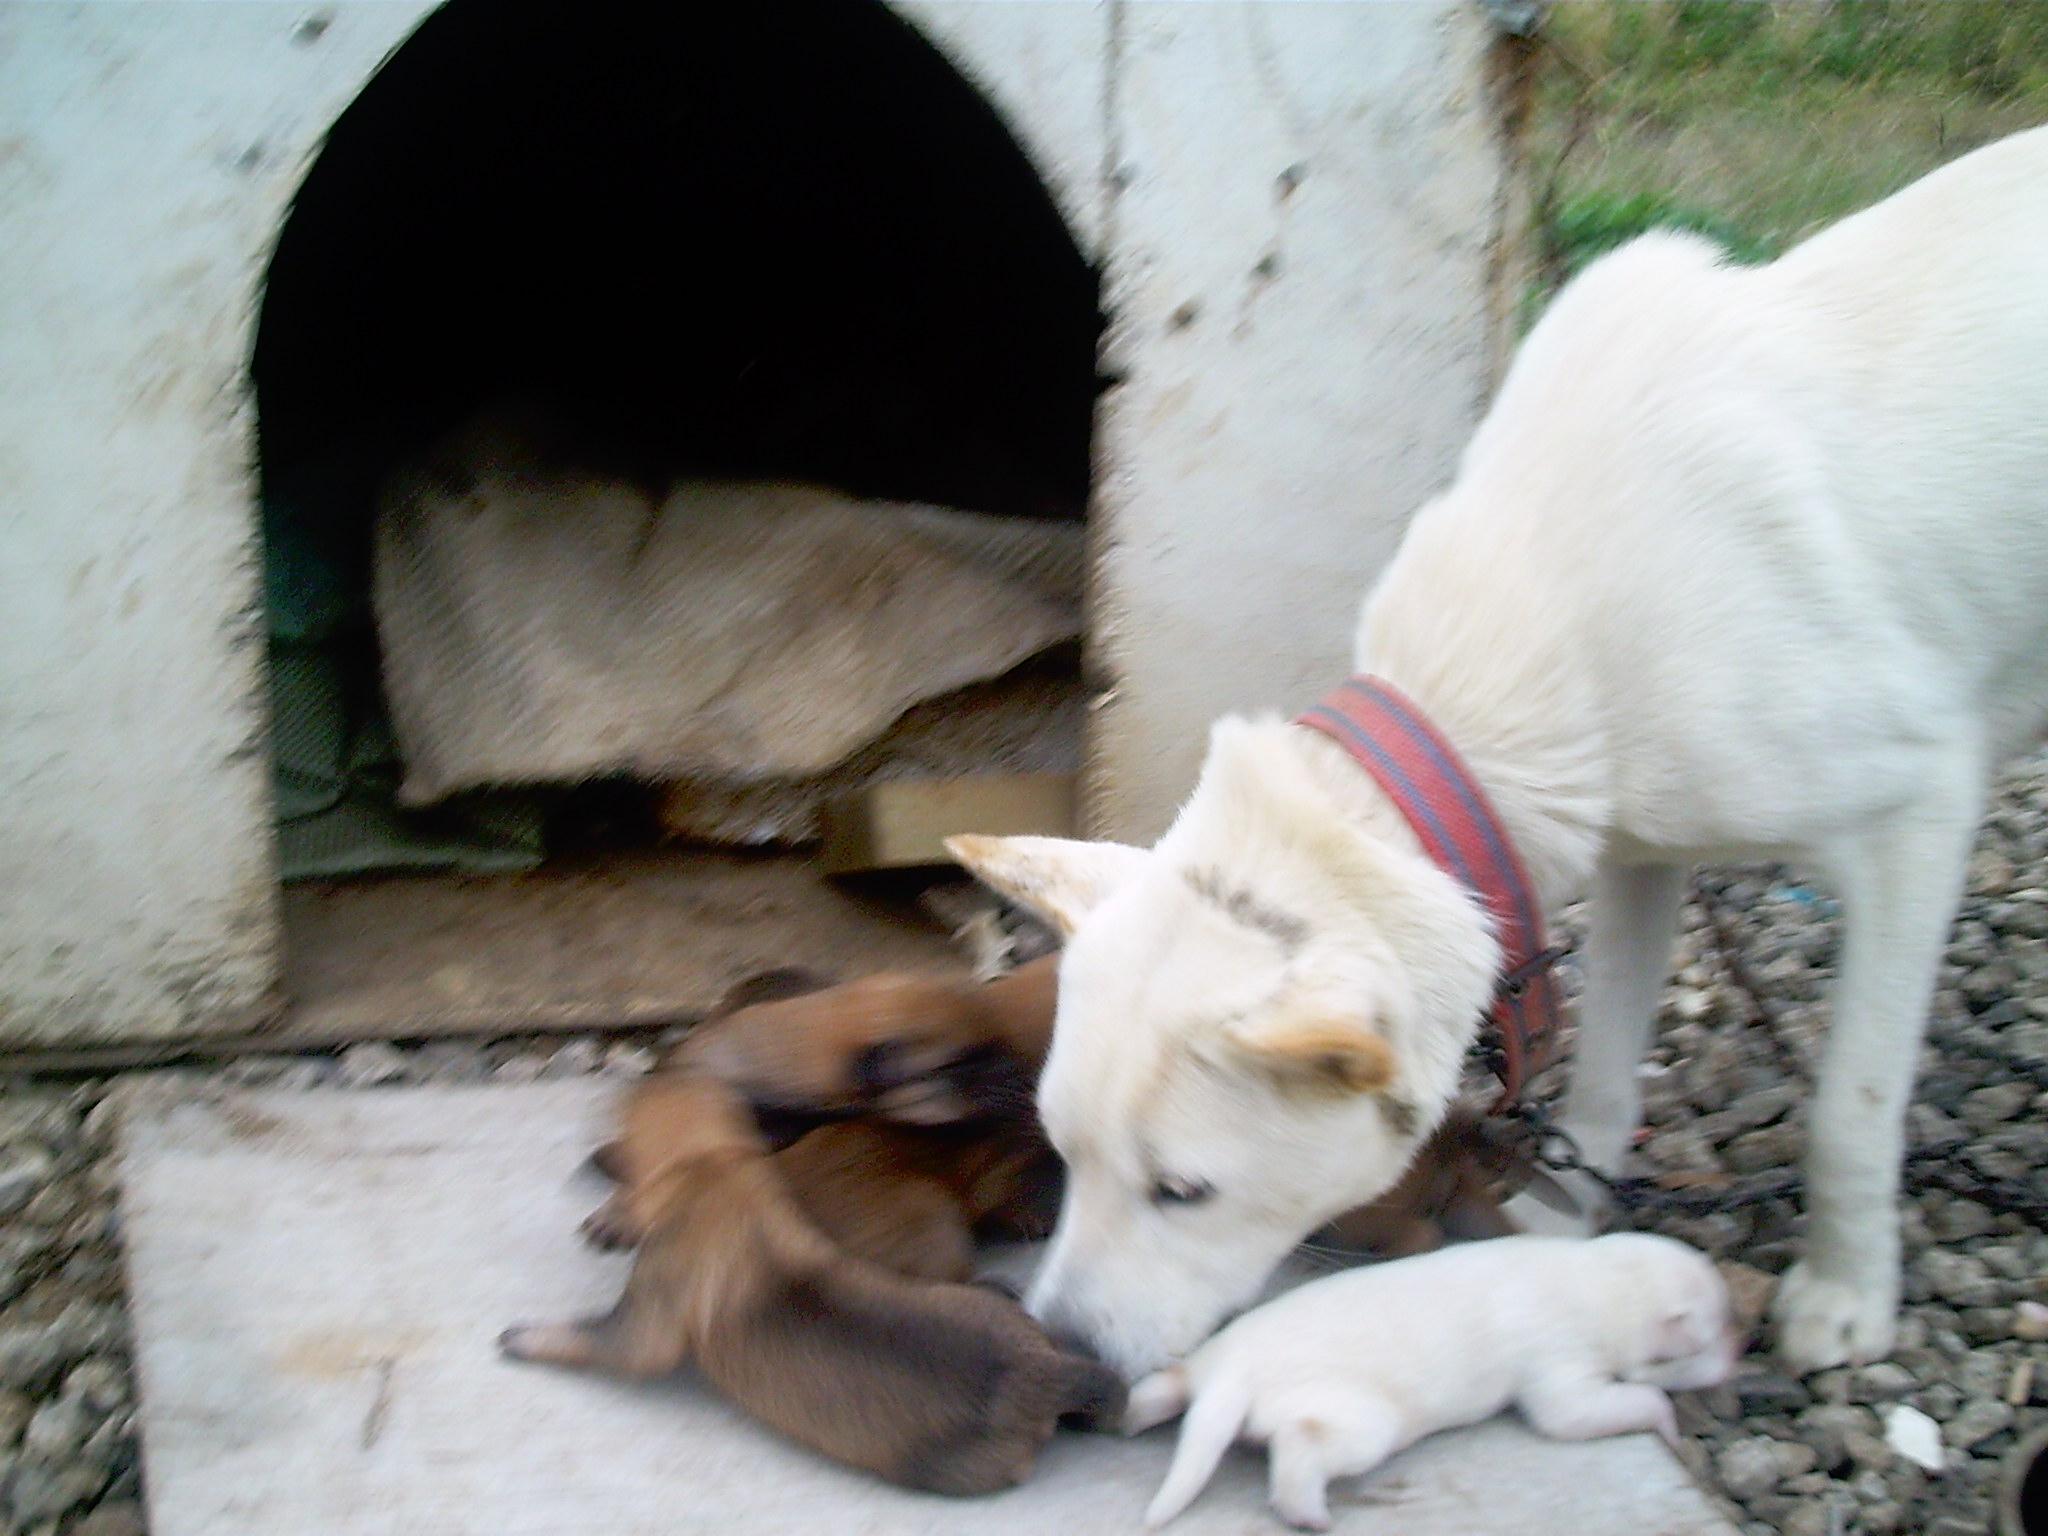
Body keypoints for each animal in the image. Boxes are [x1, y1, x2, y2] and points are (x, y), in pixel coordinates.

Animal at [947, 124, 2048, 1378]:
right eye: (1061, 1150)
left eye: (1183, 1192)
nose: (1059, 1349)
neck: (1546, 612)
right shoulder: (1637, 856)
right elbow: (1605, 1071)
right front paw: (1563, 1220)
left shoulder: (1915, 818)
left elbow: (1848, 1111)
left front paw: (1846, 1291)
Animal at [1124, 1234, 1735, 1530]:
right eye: (1709, 1341)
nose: (1740, 1358)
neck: (1602, 1281)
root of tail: (1231, 1374)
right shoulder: (1562, 1367)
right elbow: (1594, 1408)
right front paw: (1668, 1421)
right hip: (1364, 1419)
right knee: (1300, 1446)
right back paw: (1311, 1515)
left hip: (1197, 1367)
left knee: (1163, 1388)